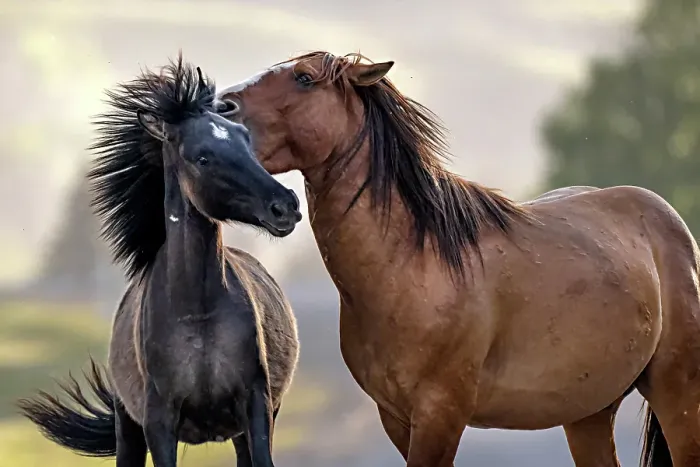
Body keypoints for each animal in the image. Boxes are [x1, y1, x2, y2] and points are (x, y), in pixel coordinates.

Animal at [18, 55, 302, 467]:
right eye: (202, 157)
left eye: (246, 140)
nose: (286, 206)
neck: (198, 316)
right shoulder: (159, 424)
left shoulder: (256, 409)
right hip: (128, 427)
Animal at [214, 51, 700, 467]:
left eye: (304, 77)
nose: (220, 107)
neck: (411, 266)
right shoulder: (396, 418)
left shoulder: (440, 415)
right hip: (589, 412)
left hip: (676, 395)